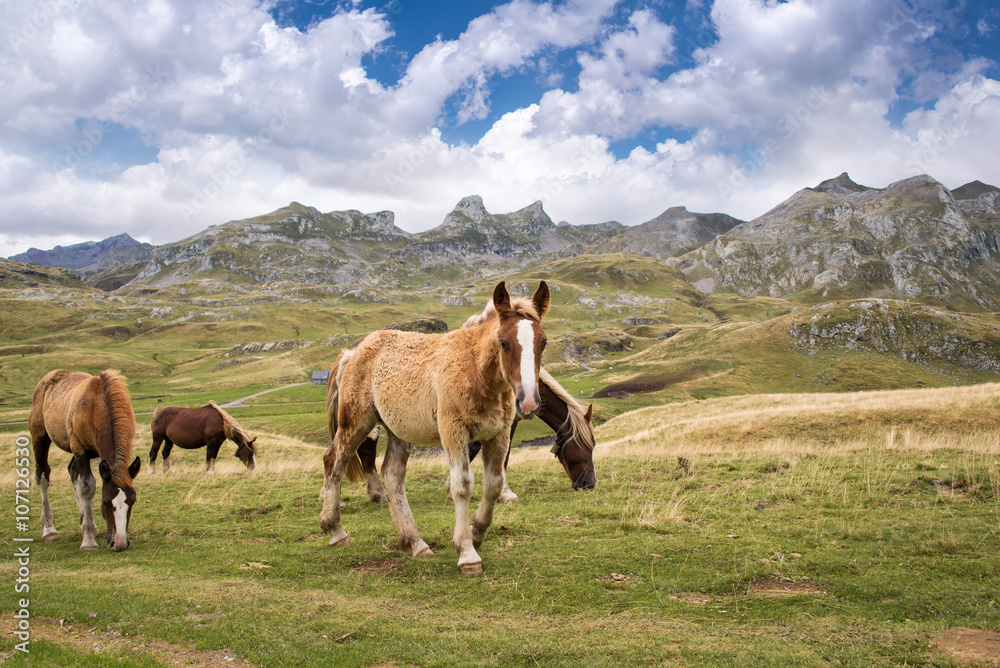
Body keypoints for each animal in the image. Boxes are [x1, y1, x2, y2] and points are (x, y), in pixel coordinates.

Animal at [29, 369, 141, 552]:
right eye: (105, 502)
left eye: (133, 500)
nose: (119, 543)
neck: (97, 405)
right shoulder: (80, 450)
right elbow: (87, 487)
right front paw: (88, 541)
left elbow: (81, 484)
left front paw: (88, 529)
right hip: (40, 438)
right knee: (42, 476)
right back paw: (49, 530)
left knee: (72, 472)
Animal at [320, 281, 550, 574]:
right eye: (504, 342)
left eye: (543, 342)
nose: (529, 402)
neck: (476, 372)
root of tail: (353, 353)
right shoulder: (453, 432)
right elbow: (462, 485)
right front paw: (467, 553)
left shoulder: (498, 435)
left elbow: (494, 484)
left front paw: (477, 532)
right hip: (356, 423)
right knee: (334, 462)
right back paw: (336, 531)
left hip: (398, 431)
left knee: (393, 476)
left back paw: (415, 542)